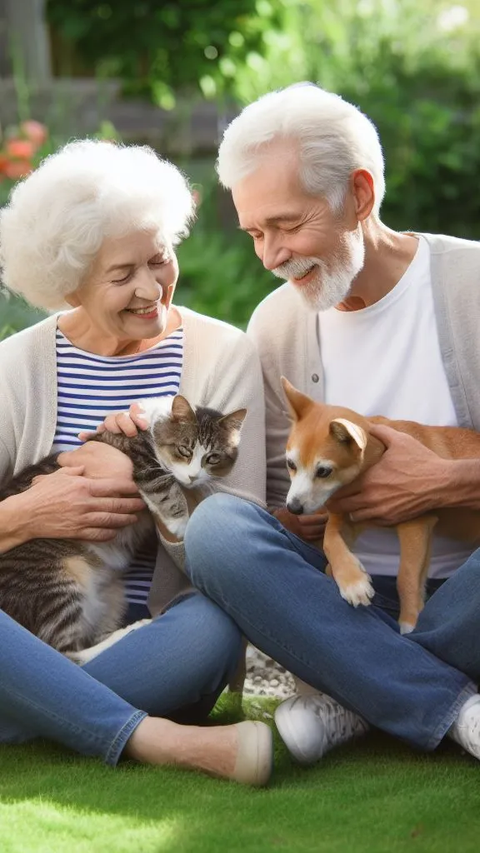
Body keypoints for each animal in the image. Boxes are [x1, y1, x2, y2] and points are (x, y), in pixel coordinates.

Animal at [0, 396, 246, 656]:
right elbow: (166, 489)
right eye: (184, 450)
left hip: (114, 594)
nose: (193, 477)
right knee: (67, 653)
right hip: (57, 581)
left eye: (213, 458)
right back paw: (134, 628)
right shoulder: (142, 460)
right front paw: (181, 524)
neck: (153, 425)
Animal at [284, 378, 480, 632]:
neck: (375, 459)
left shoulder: (416, 525)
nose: (293, 509)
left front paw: (409, 621)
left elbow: (406, 575)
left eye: (324, 471)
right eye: (290, 464)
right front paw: (352, 581)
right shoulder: (347, 519)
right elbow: (329, 542)